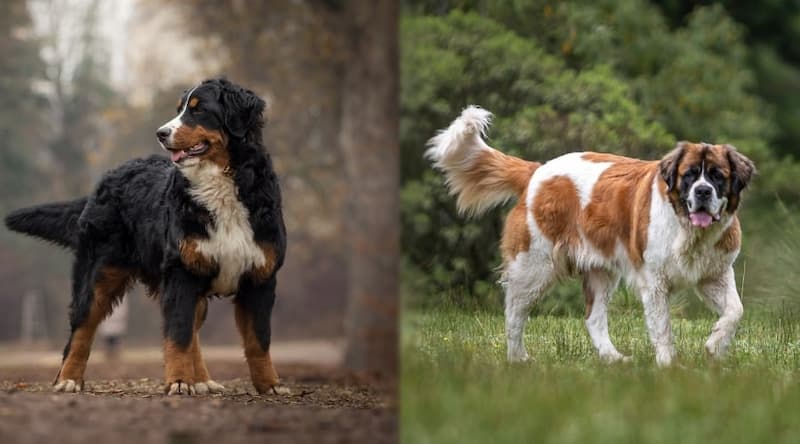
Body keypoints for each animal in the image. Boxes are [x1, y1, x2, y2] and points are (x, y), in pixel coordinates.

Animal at [3, 77, 288, 396]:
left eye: (198, 110)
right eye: (179, 109)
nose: (161, 133)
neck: (221, 185)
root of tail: (108, 176)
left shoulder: (260, 277)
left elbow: (258, 341)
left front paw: (270, 385)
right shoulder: (181, 274)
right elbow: (178, 336)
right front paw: (179, 382)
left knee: (193, 332)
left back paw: (202, 380)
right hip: (98, 274)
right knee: (81, 330)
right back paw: (68, 379)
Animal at [428, 106, 752, 366]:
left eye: (717, 176)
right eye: (689, 175)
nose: (702, 191)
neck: (688, 230)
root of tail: (537, 172)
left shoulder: (715, 274)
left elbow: (735, 310)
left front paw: (715, 346)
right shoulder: (654, 283)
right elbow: (663, 328)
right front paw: (669, 365)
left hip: (601, 272)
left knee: (593, 319)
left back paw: (613, 358)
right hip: (533, 267)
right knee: (514, 313)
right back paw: (517, 358)